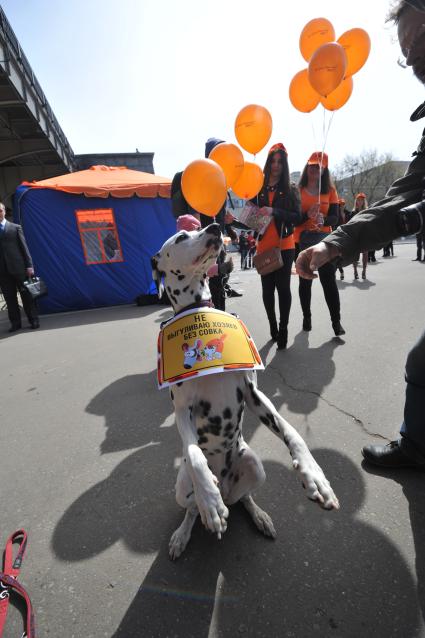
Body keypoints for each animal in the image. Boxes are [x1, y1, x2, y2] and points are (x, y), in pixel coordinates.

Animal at [151, 224, 340, 560]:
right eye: (182, 237)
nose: (215, 226)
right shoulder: (182, 410)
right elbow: (194, 454)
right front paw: (209, 499)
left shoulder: (253, 395)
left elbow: (292, 432)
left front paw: (313, 473)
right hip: (180, 488)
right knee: (192, 508)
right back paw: (193, 522)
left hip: (254, 467)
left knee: (243, 498)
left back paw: (257, 515)